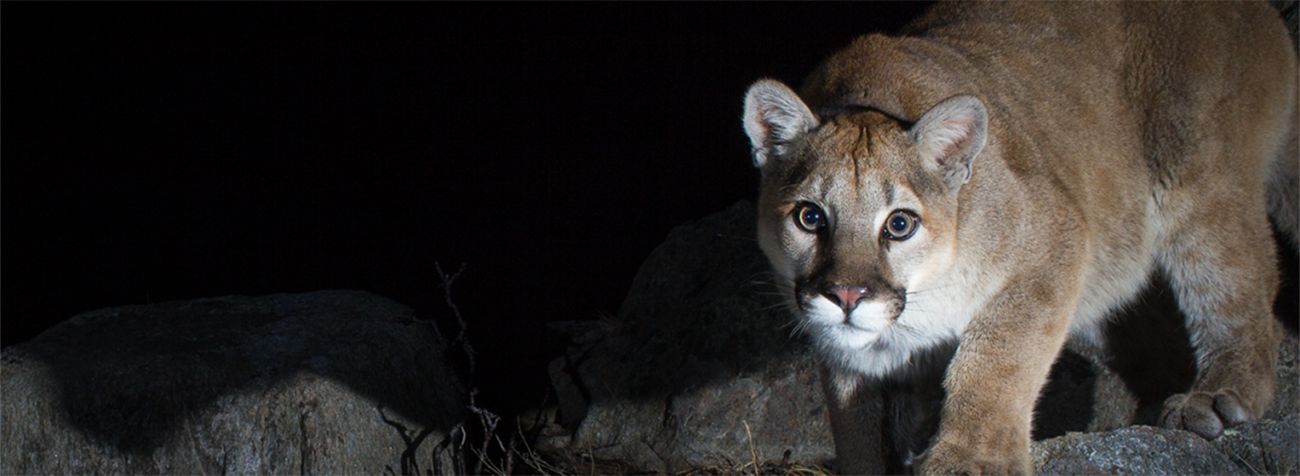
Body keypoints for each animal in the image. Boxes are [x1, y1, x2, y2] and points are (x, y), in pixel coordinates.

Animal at [743, 0, 1300, 473]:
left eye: (900, 224)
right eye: (810, 217)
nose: (846, 296)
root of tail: (1264, 14)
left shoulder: (1057, 240)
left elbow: (996, 359)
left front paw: (970, 458)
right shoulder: (849, 354)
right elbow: (858, 424)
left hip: (1196, 180)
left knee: (1244, 287)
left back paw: (1218, 397)